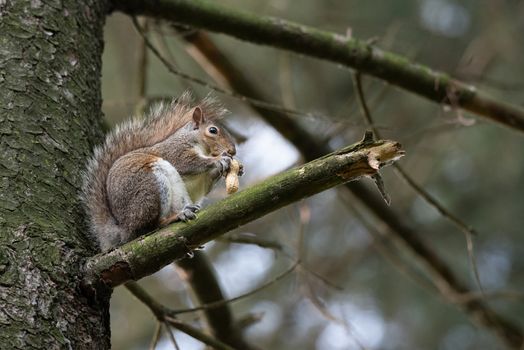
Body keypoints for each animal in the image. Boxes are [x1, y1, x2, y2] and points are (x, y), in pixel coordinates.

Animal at [81, 93, 242, 252]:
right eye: (213, 130)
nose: (232, 151)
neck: (202, 148)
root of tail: (124, 230)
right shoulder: (175, 151)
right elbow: (189, 162)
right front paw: (219, 159)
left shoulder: (202, 181)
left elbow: (206, 181)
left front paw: (234, 168)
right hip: (148, 188)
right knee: (149, 227)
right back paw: (174, 218)